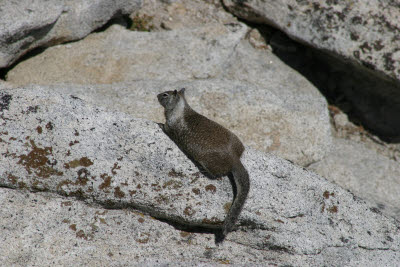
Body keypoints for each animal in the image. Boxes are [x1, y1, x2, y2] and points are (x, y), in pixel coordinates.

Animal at [157, 89, 248, 238]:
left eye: (165, 94)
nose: (157, 95)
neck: (180, 108)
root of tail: (235, 159)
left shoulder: (171, 126)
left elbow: (166, 128)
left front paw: (159, 124)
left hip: (208, 162)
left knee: (217, 175)